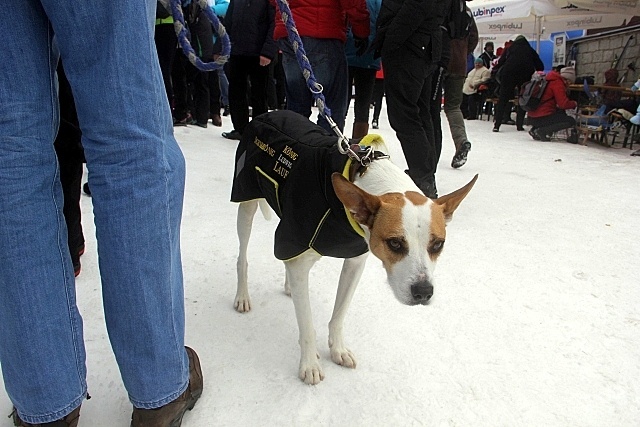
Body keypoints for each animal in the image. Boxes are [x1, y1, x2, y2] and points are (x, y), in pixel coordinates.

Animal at [230, 110, 476, 384]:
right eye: (395, 243)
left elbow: (339, 314)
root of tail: (270, 112)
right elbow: (307, 324)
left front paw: (337, 349)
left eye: (437, 244)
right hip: (247, 202)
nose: (423, 292)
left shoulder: (355, 261)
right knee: (243, 257)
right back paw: (242, 296)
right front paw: (310, 364)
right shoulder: (298, 241)